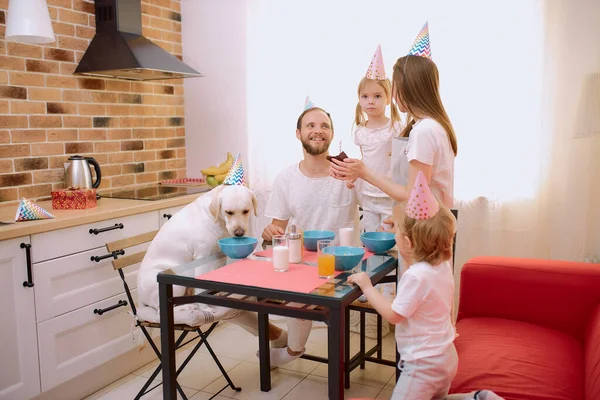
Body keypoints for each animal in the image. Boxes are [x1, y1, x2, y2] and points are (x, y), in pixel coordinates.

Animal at [139, 184, 258, 316]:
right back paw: (188, 307)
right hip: (174, 283)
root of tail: (141, 300)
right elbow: (200, 288)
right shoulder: (202, 257)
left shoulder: (219, 256)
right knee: (160, 310)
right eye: (229, 212)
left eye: (246, 211)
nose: (239, 233)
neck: (216, 219)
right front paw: (205, 308)